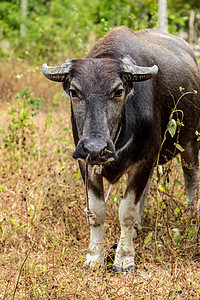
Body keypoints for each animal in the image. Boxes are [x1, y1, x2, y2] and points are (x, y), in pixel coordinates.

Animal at [42, 27, 200, 274]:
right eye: (74, 91)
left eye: (117, 91)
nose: (96, 148)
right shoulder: (85, 161)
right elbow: (96, 211)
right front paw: (94, 257)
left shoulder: (145, 158)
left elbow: (127, 211)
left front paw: (124, 259)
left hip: (191, 141)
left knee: (191, 179)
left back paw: (191, 218)